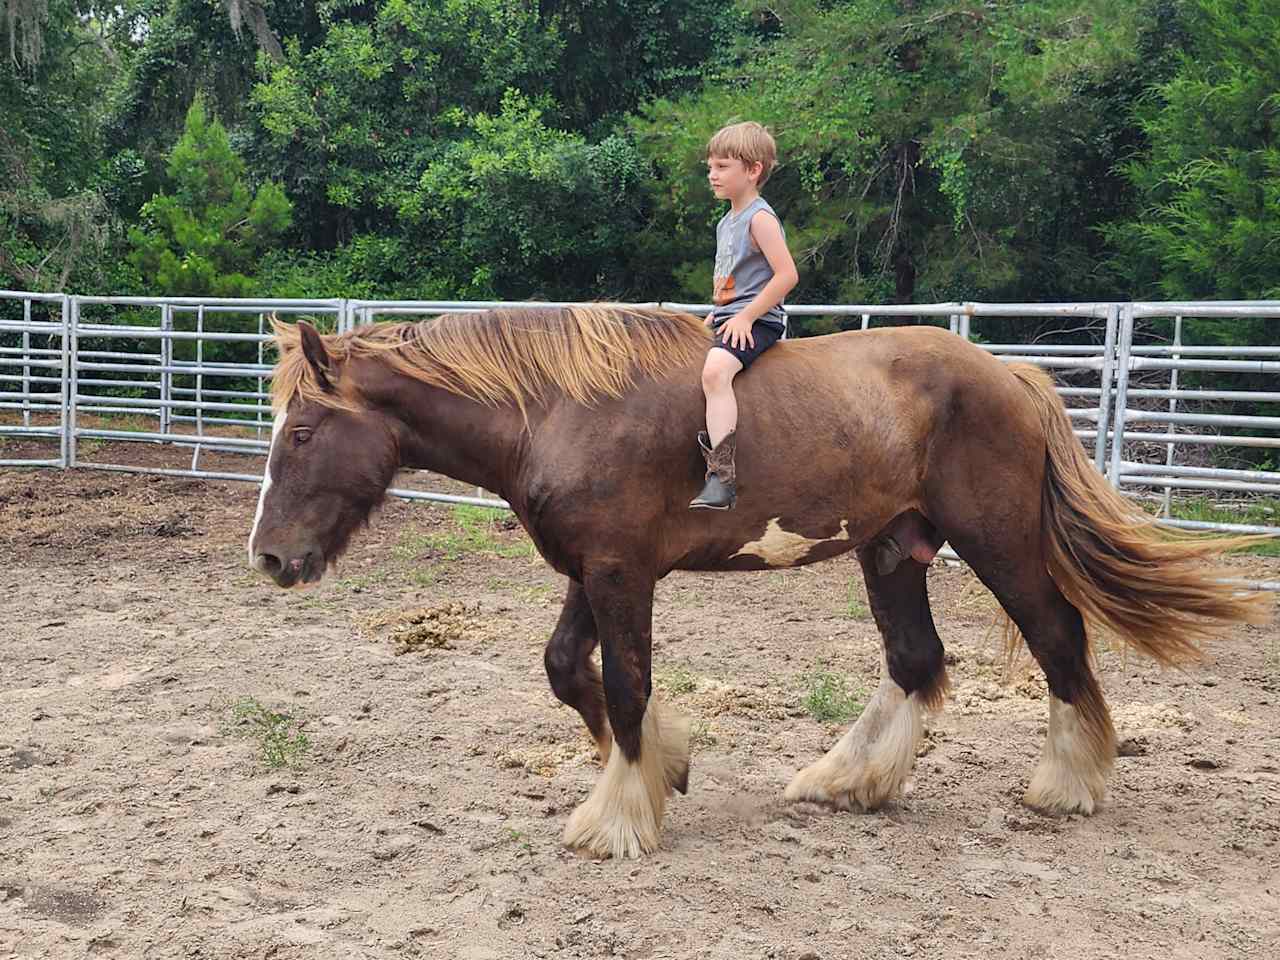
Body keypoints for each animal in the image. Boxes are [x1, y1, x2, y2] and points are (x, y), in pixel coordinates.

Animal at [244, 309, 1264, 865]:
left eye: (303, 432)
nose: (269, 559)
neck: (556, 409)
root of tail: (1008, 373)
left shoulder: (621, 573)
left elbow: (624, 686)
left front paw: (619, 817)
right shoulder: (593, 570)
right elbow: (569, 670)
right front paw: (667, 766)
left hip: (999, 545)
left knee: (1057, 640)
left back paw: (1066, 785)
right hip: (892, 549)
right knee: (915, 660)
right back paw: (848, 780)